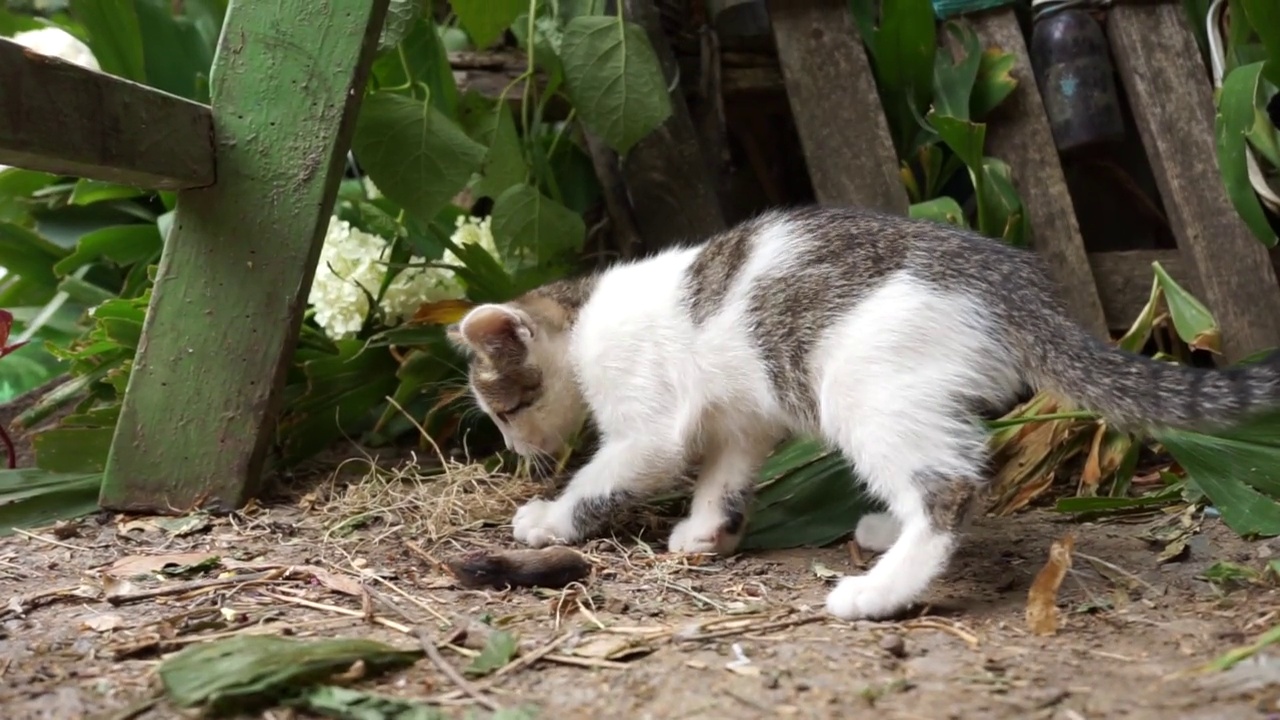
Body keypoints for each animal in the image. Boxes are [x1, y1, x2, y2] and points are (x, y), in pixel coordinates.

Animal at [445, 203, 1274, 617]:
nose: (516, 454)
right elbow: (725, 474)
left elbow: (613, 472)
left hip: (859, 381)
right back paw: (884, 532)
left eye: (505, 412)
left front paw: (549, 517)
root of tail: (1013, 281)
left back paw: (880, 590)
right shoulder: (742, 417)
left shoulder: (646, 420)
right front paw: (707, 530)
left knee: (953, 486)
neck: (582, 316)